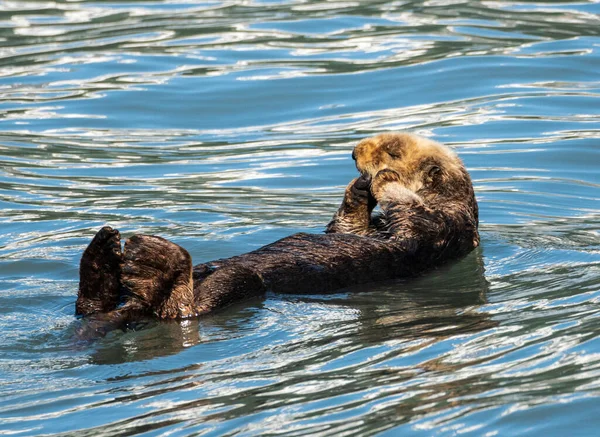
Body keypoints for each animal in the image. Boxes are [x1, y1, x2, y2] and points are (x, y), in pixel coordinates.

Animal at [76, 133, 478, 328]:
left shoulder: (440, 227)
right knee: (91, 307)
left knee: (180, 309)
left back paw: (152, 261)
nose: (354, 152)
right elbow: (345, 226)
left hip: (238, 284)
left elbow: (409, 214)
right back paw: (103, 252)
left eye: (393, 150)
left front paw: (384, 179)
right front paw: (358, 190)